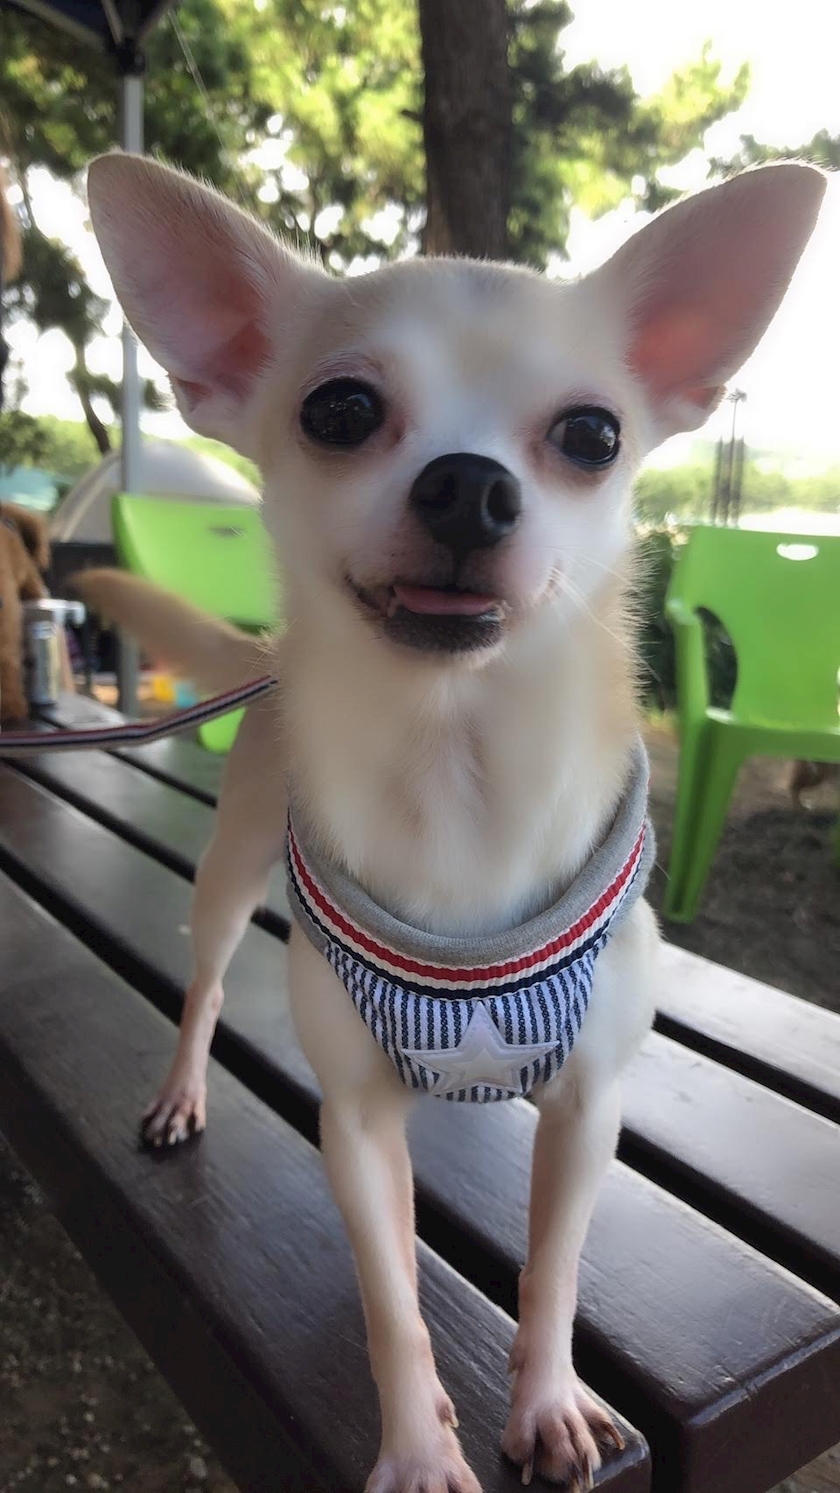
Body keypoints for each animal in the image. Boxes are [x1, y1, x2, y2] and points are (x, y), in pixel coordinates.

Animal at [77, 154, 824, 1493]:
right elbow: (392, 1303)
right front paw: (421, 1449)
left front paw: (550, 1401)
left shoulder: (586, 1110)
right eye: (337, 411)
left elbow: (557, 1268)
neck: (457, 762)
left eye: (593, 435)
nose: (468, 483)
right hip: (229, 875)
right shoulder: (355, 1123)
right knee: (204, 984)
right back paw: (180, 1090)